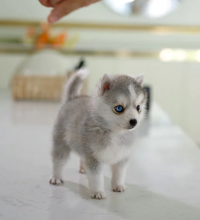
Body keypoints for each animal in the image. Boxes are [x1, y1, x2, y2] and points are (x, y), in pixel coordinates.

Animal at [50, 70, 147, 199]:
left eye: (138, 107)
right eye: (119, 108)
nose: (134, 121)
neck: (116, 133)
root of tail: (72, 99)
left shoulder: (122, 156)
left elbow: (119, 173)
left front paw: (118, 185)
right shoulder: (94, 157)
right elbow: (96, 177)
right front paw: (98, 192)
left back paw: (83, 169)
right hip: (61, 143)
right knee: (58, 161)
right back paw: (56, 177)